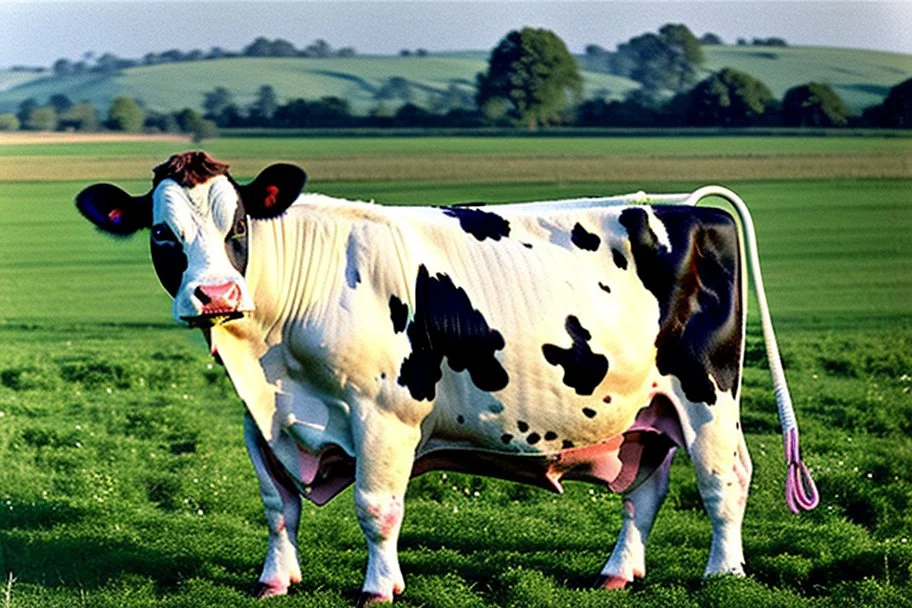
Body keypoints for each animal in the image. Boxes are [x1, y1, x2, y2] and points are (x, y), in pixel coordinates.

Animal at [76, 151, 820, 604]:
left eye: (238, 226)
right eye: (162, 233)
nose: (214, 294)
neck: (270, 360)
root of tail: (688, 206)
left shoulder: (383, 411)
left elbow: (376, 507)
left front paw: (379, 587)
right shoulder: (260, 420)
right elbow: (277, 506)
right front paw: (274, 581)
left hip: (706, 393)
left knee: (724, 480)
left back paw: (723, 573)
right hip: (644, 409)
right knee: (646, 488)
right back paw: (617, 573)